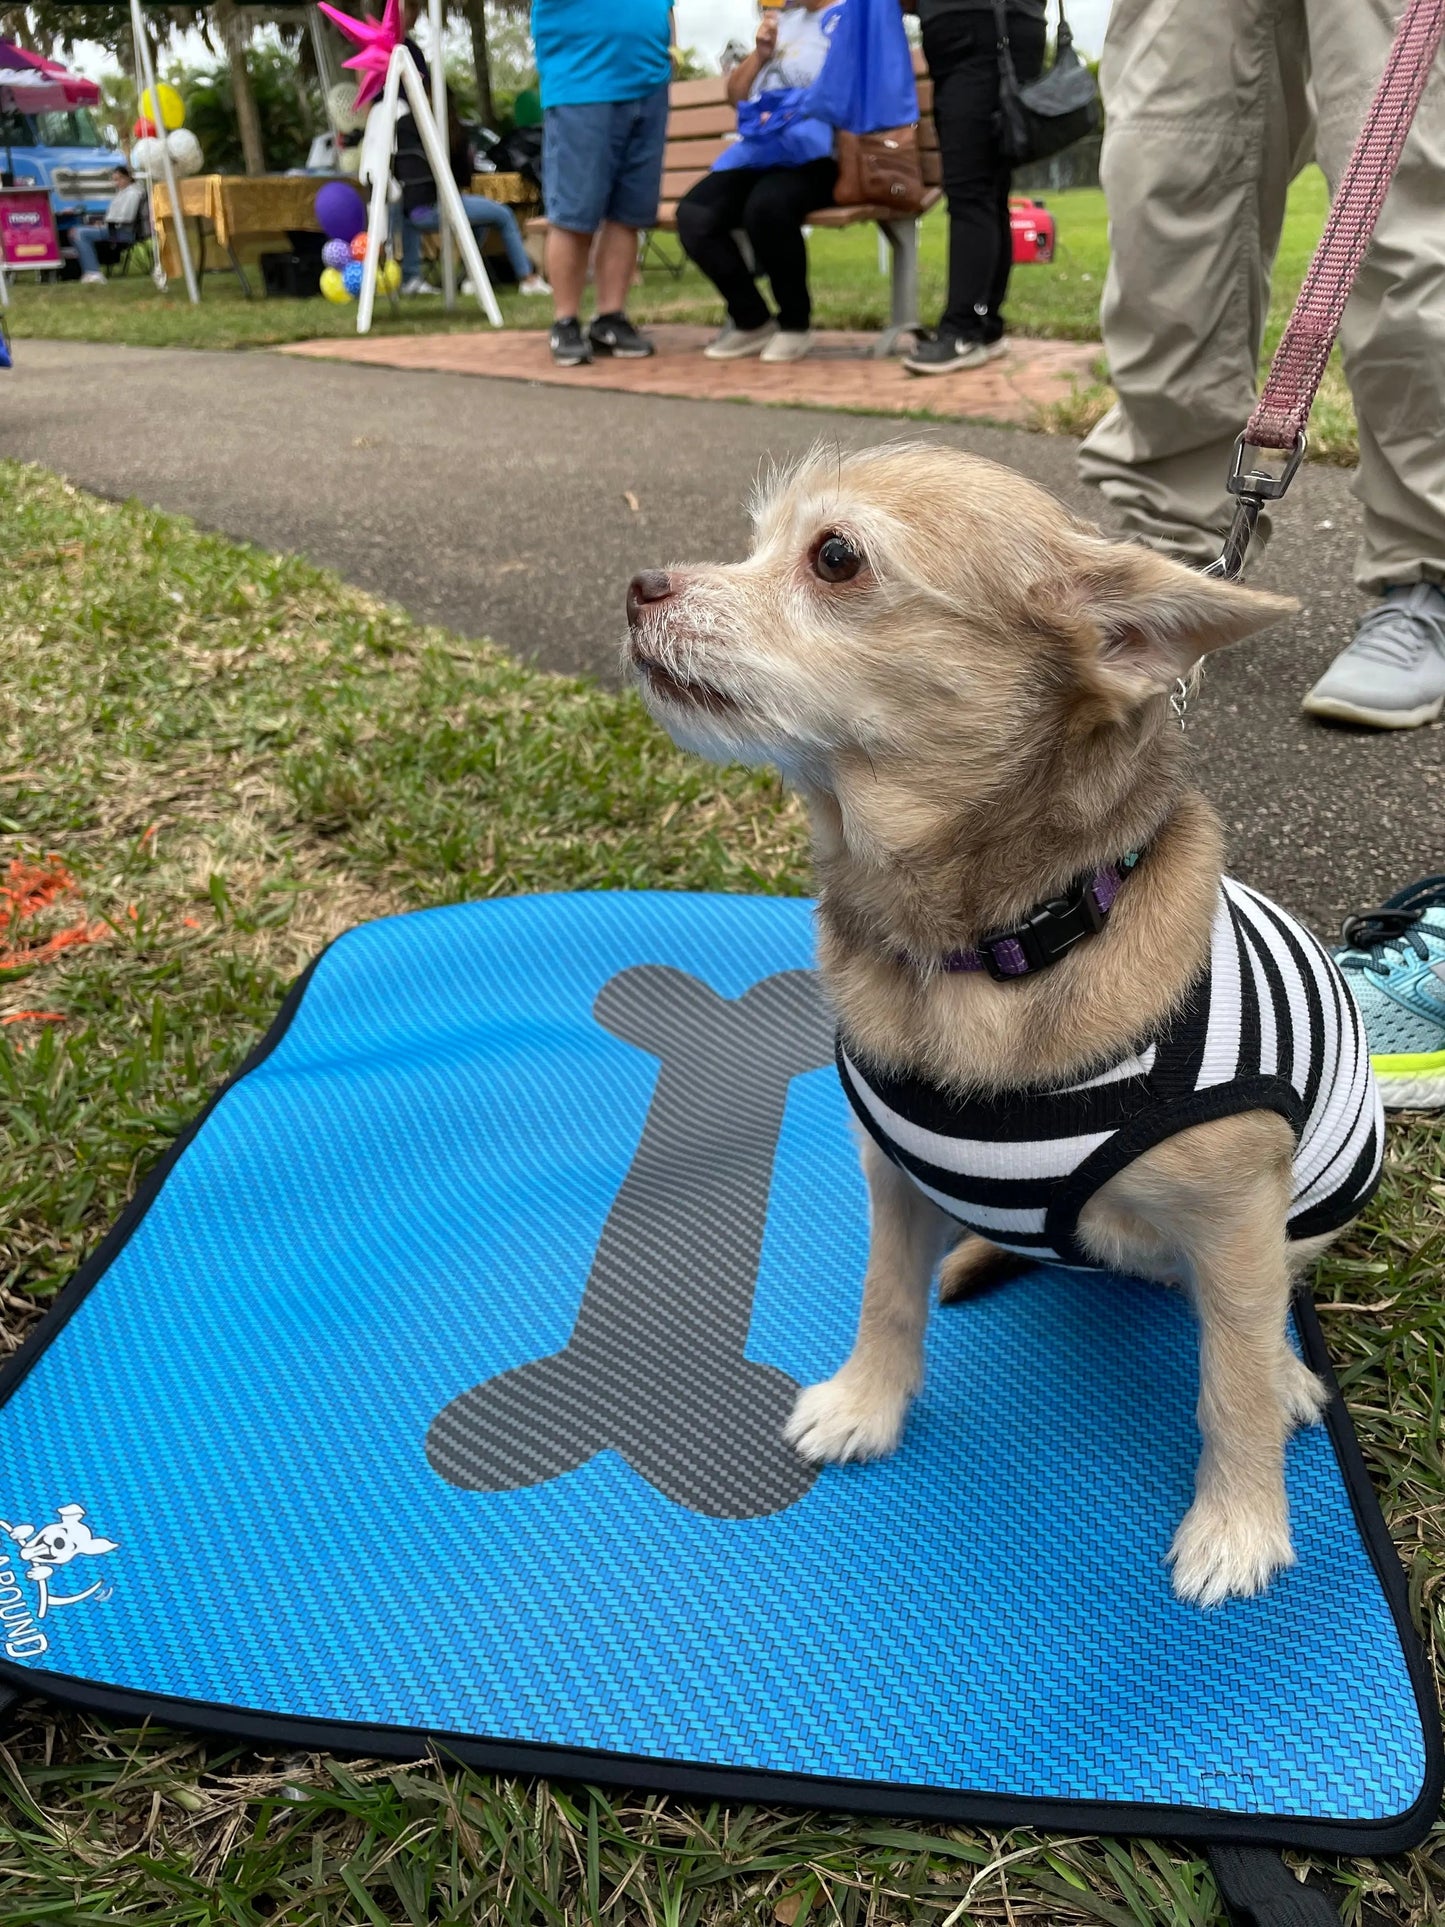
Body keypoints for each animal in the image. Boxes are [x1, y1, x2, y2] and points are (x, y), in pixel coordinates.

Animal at [628, 447, 1387, 1610]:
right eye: (755, 542)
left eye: (834, 557)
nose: (638, 587)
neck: (987, 949)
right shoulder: (892, 1178)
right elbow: (884, 1296)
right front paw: (866, 1403)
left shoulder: (1233, 1219)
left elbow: (1229, 1379)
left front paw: (1239, 1522)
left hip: (1312, 1201)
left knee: (1259, 1313)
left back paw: (1287, 1373)